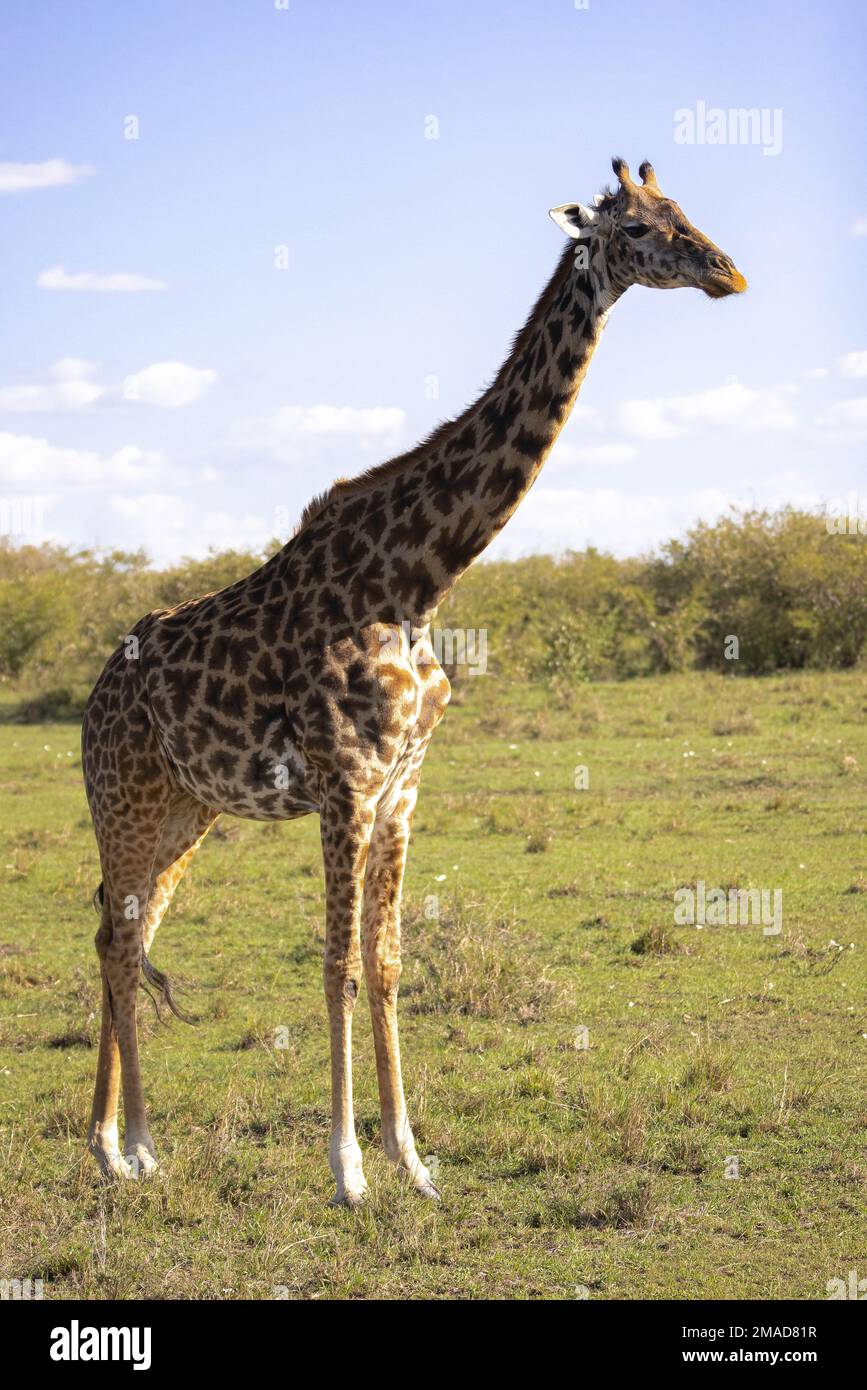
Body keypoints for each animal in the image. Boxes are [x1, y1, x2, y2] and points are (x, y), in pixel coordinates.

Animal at [83, 159, 744, 1206]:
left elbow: (389, 962)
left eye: (684, 211)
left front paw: (412, 1158)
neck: (420, 581)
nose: (728, 272)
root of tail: (94, 698)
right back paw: (124, 1147)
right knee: (117, 940)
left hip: (188, 813)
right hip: (126, 803)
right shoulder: (344, 788)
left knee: (126, 937)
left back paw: (119, 1143)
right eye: (637, 227)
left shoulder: (401, 789)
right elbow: (337, 966)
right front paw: (348, 1169)